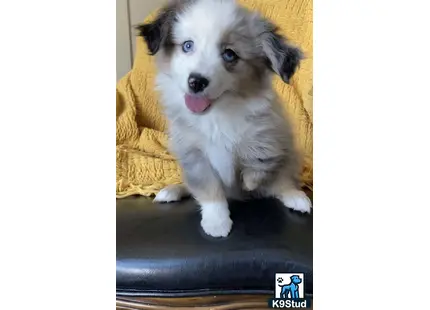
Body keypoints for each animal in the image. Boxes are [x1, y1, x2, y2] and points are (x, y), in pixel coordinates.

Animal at [139, 0, 310, 237]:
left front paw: (249, 181)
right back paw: (171, 191)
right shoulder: (193, 154)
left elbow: (260, 159)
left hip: (291, 159)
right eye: (187, 46)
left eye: (230, 55)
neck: (216, 115)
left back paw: (297, 198)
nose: (196, 82)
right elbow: (209, 191)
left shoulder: (269, 130)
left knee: (282, 182)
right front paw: (216, 222)